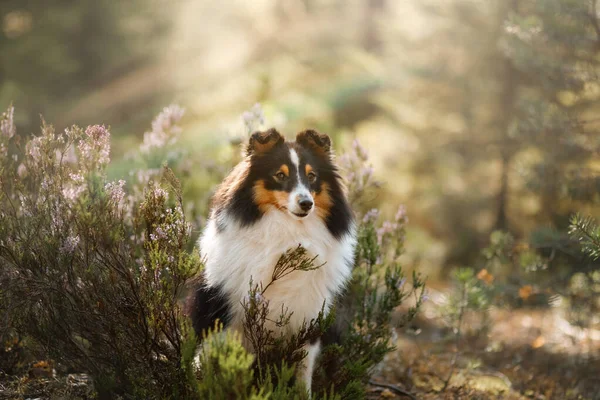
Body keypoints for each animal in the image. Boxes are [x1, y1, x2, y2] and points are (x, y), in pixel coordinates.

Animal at [189, 129, 356, 394]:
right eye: (280, 175)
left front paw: (302, 395)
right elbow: (207, 357)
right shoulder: (221, 307)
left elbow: (303, 369)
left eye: (312, 176)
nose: (306, 203)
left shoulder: (308, 315)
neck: (288, 236)